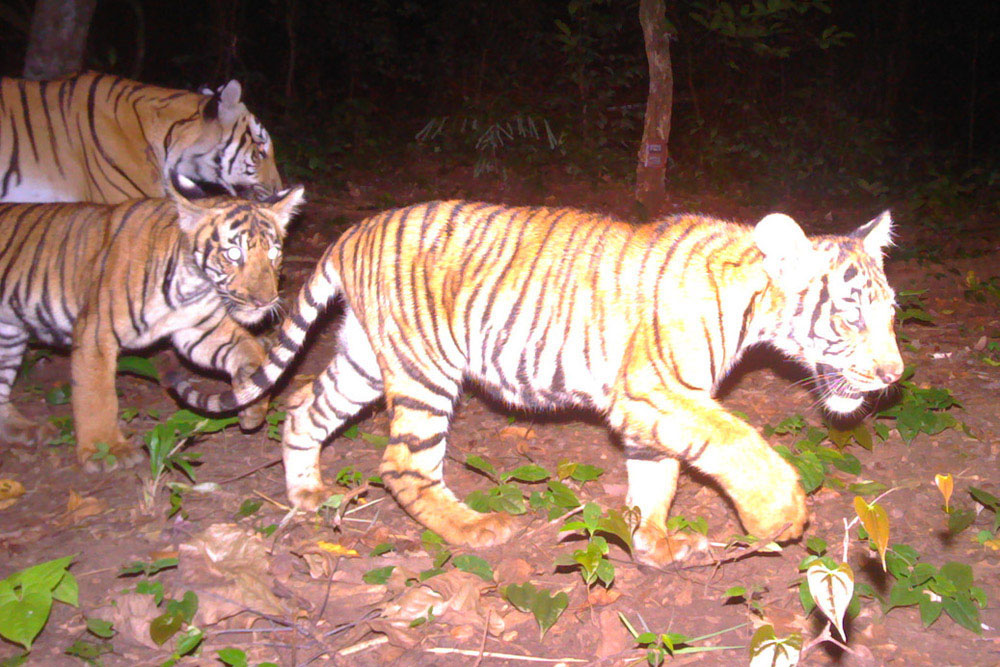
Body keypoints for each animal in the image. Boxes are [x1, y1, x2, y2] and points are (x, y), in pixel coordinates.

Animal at [0, 174, 304, 471]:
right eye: (233, 254)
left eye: (273, 254)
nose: (265, 301)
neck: (192, 285)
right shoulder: (95, 334)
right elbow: (96, 396)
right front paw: (105, 450)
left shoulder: (200, 330)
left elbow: (252, 351)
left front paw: (252, 406)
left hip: (9, 336)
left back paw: (24, 430)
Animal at [170, 201, 903, 565]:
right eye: (852, 314)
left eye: (892, 313)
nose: (895, 374)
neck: (753, 304)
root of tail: (355, 230)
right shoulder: (656, 389)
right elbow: (736, 440)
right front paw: (778, 514)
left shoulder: (654, 407)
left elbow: (656, 477)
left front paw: (654, 544)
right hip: (425, 371)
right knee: (403, 463)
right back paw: (474, 530)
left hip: (364, 360)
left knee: (301, 407)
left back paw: (306, 495)